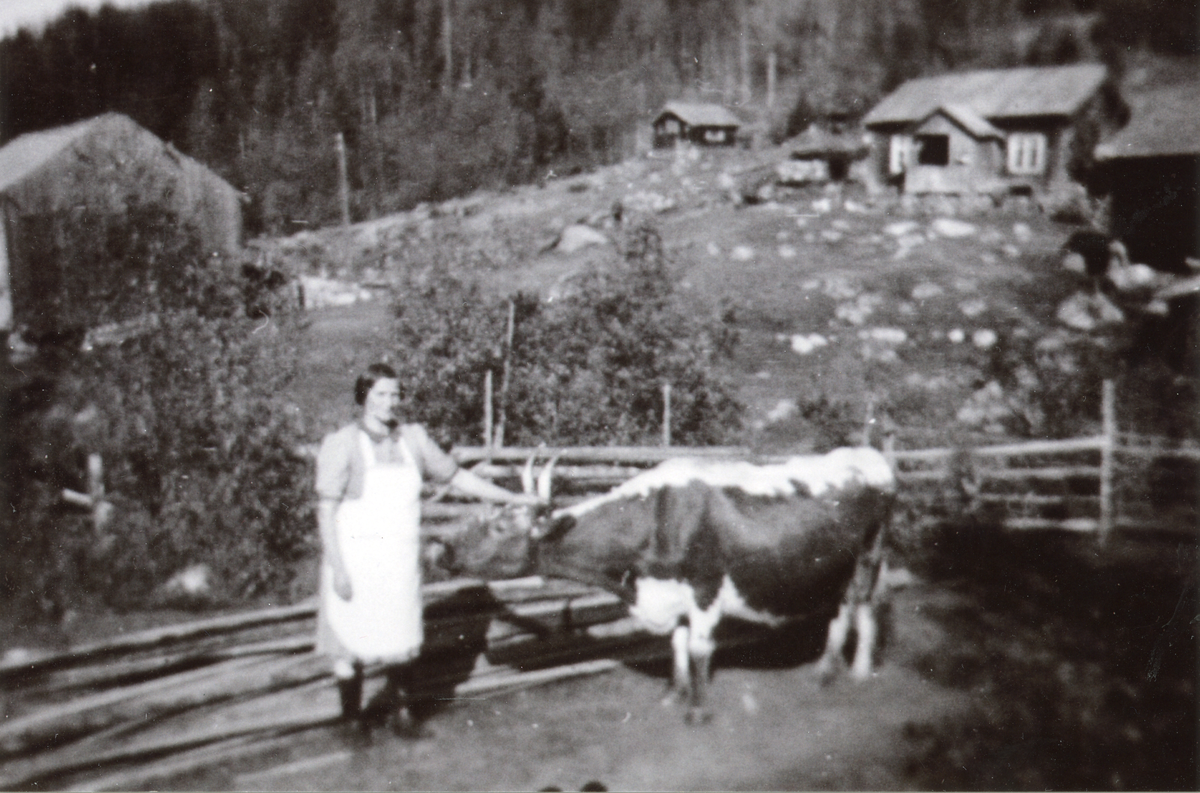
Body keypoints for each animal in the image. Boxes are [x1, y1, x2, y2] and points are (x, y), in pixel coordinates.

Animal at [446, 446, 897, 724]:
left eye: (500, 526)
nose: (442, 549)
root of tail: (869, 455)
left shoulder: (705, 588)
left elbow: (697, 648)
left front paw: (697, 710)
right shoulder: (671, 594)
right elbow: (676, 644)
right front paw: (673, 694)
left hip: (868, 555)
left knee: (862, 604)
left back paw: (853, 671)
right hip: (838, 566)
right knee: (846, 608)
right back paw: (833, 669)